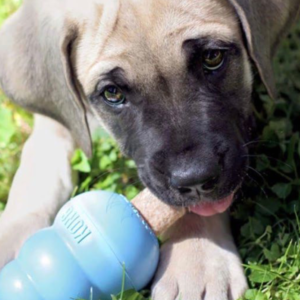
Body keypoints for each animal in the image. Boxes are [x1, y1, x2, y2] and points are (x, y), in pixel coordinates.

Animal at [0, 0, 300, 298]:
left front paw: (196, 259)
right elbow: (38, 168)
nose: (194, 180)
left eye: (213, 57)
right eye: (112, 93)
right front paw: (13, 233)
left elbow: (194, 208)